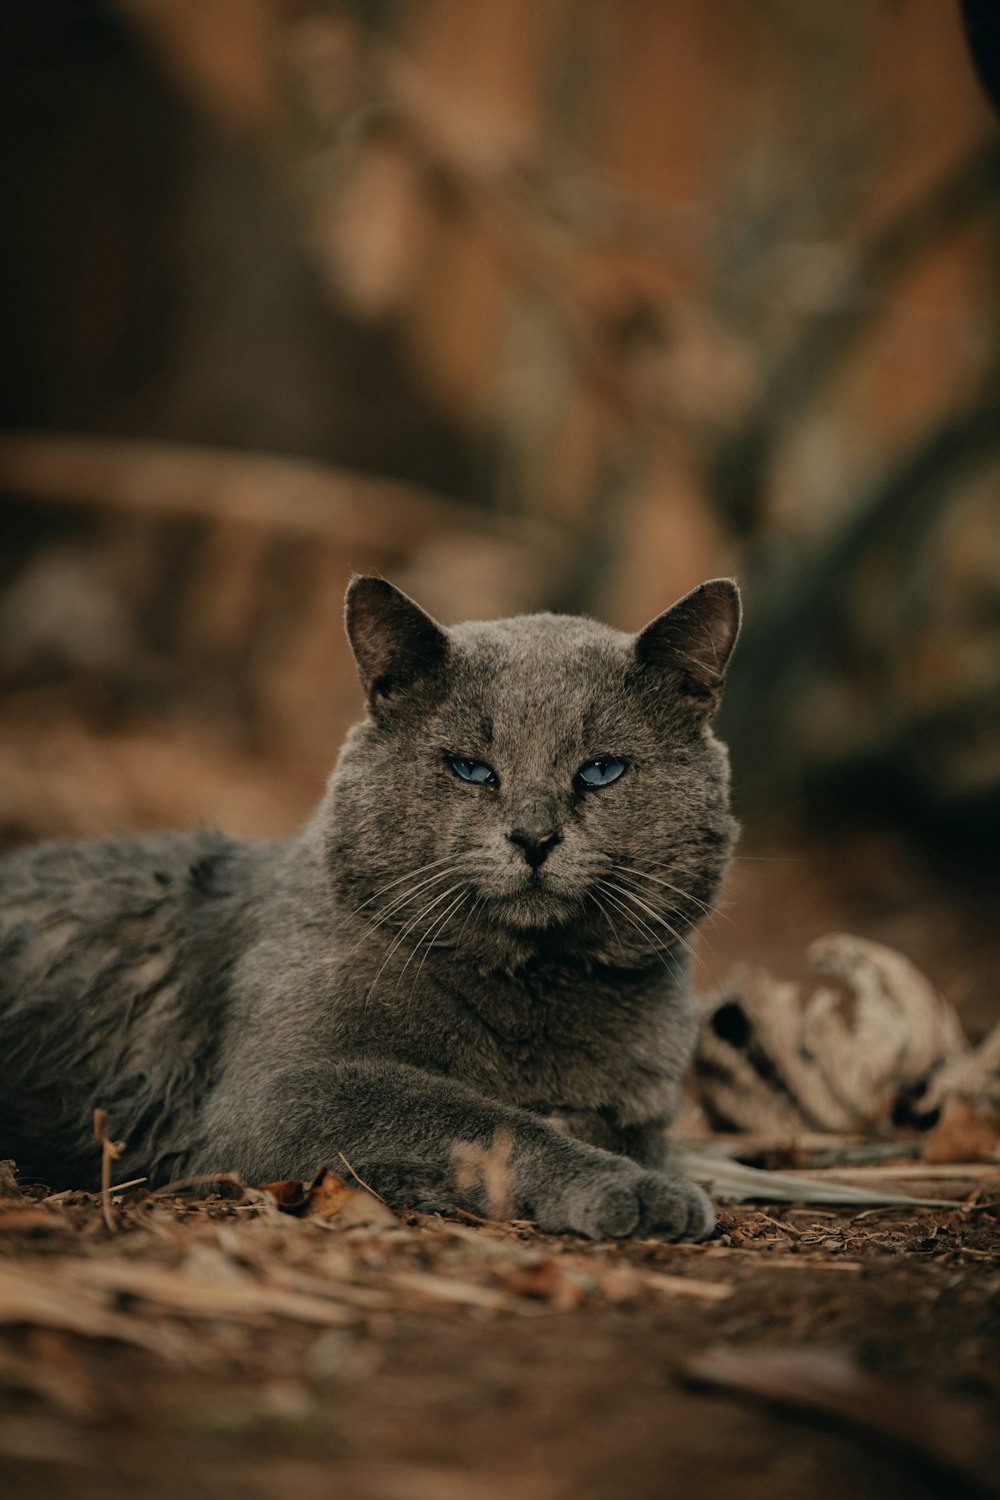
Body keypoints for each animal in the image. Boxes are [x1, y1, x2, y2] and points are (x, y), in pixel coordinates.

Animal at [0, 573, 734, 1242]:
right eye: (470, 769)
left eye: (602, 771)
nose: (534, 837)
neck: (536, 991)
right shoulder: (279, 1094)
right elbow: (478, 1117)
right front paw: (633, 1189)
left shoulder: (643, 1108)